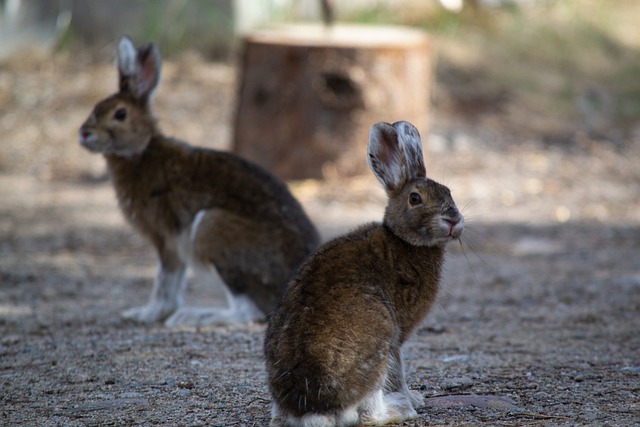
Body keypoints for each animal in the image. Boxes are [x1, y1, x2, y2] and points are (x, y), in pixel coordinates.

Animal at [79, 36, 318, 330]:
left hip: (211, 231)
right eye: (96, 106)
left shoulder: (167, 238)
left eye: (120, 114)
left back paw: (193, 316)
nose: (84, 134)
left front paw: (148, 314)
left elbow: (164, 280)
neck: (143, 150)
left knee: (247, 312)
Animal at [262, 120, 462, 427]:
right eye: (415, 198)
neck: (402, 239)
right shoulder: (396, 336)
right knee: (369, 414)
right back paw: (400, 408)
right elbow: (398, 371)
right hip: (379, 337)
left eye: (449, 192)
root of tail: (314, 409)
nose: (453, 221)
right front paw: (412, 397)